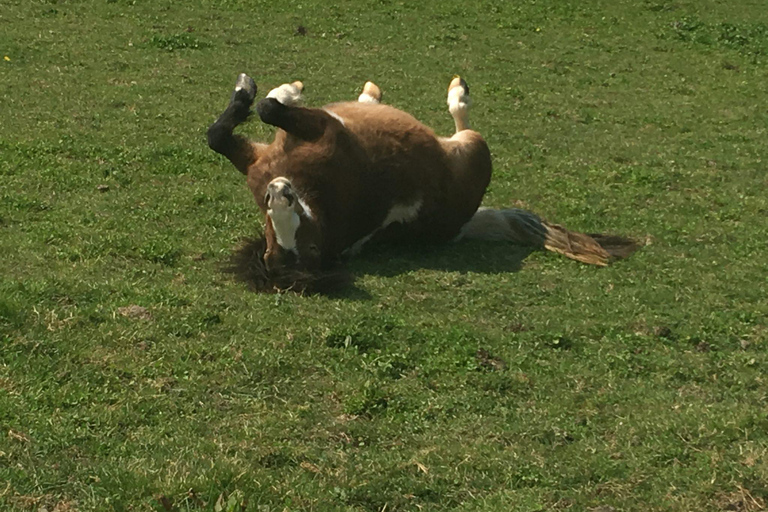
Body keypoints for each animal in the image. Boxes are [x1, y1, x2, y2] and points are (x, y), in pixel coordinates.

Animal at [207, 73, 636, 291]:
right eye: (276, 244)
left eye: (305, 243)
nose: (278, 193)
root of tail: (462, 224)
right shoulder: (325, 133)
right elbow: (267, 108)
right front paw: (282, 92)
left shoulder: (258, 161)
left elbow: (220, 133)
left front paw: (253, 90)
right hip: (475, 148)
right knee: (463, 122)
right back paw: (453, 92)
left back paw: (372, 96)